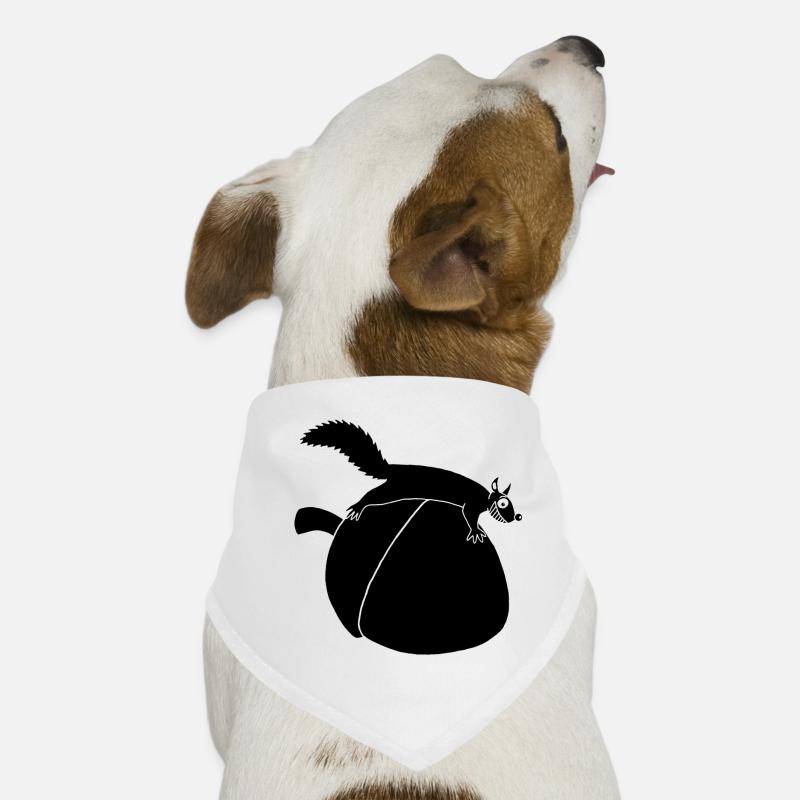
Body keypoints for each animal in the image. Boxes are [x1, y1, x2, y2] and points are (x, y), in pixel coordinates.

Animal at [294, 420, 522, 543]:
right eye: (503, 503)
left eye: (510, 503)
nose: (516, 517)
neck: (485, 497)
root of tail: (393, 468)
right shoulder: (471, 504)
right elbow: (469, 516)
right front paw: (475, 532)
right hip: (393, 490)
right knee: (371, 496)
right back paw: (358, 507)